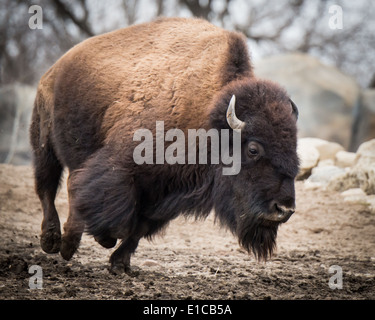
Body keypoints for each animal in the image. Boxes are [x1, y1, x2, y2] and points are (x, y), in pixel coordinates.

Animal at [30, 17, 300, 274]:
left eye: (294, 148)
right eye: (253, 149)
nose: (284, 209)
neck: (206, 115)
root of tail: (54, 70)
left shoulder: (166, 194)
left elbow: (139, 228)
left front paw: (120, 264)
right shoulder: (121, 167)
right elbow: (113, 216)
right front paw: (99, 242)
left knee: (67, 184)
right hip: (44, 144)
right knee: (49, 187)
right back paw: (53, 242)